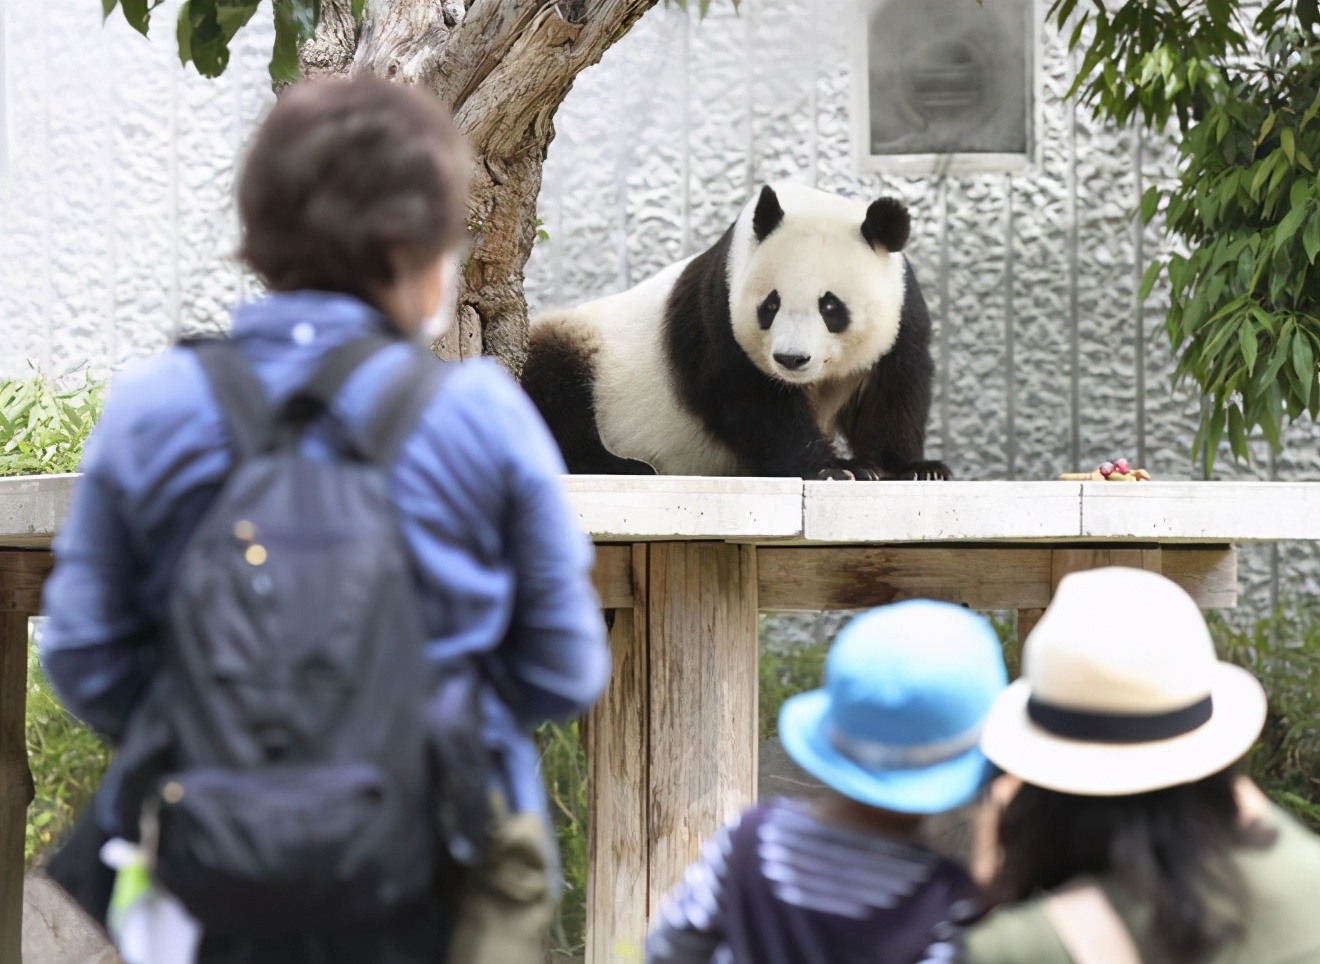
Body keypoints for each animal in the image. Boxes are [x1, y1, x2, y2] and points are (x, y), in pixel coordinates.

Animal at [522, 180, 950, 480]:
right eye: (770, 305)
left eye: (830, 307)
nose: (791, 359)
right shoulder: (719, 313)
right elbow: (750, 400)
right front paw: (833, 467)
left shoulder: (903, 312)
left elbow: (894, 390)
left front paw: (914, 467)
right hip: (579, 342)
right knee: (554, 395)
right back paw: (621, 464)